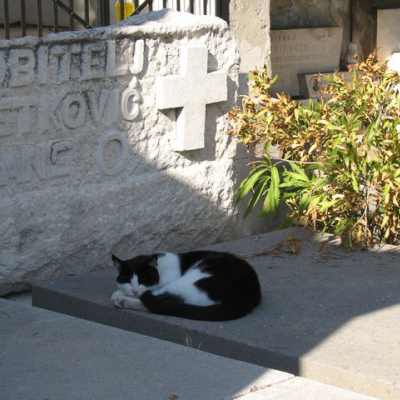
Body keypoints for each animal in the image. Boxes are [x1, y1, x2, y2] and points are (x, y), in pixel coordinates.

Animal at [110, 250, 261, 321]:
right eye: (127, 281)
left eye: (143, 279)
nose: (134, 291)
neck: (161, 268)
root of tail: (249, 297)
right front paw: (123, 292)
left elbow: (148, 294)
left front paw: (120, 294)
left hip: (189, 280)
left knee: (159, 301)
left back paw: (122, 301)